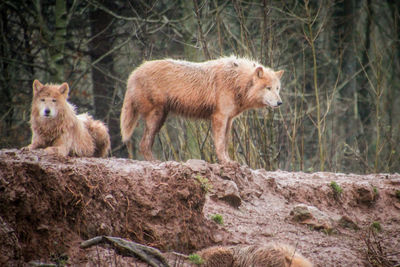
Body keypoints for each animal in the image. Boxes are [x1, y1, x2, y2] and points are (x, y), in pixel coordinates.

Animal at [120, 57, 282, 163]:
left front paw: (228, 161)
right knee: (143, 145)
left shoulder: (229, 119)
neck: (236, 81)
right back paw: (155, 162)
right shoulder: (219, 117)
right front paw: (225, 162)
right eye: (268, 88)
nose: (280, 102)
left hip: (160, 118)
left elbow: (225, 143)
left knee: (144, 144)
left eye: (277, 88)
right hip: (156, 117)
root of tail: (133, 73)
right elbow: (220, 144)